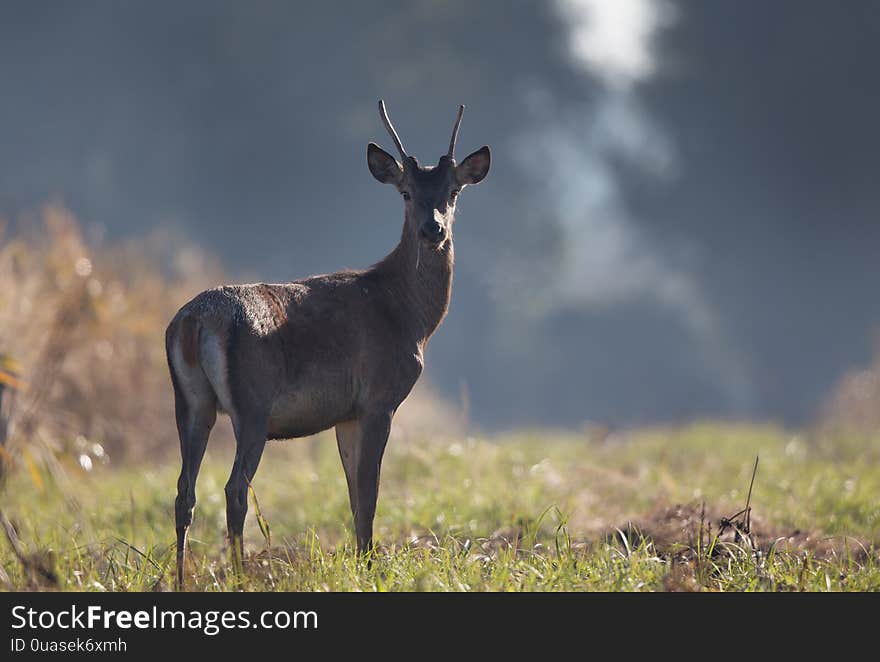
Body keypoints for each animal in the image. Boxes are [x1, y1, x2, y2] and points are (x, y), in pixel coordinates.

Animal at [167, 100, 488, 592]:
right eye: (406, 193)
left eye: (453, 192)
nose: (433, 230)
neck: (408, 318)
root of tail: (193, 321)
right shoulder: (378, 398)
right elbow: (370, 493)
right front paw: (371, 566)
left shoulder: (345, 413)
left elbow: (353, 493)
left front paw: (361, 563)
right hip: (251, 405)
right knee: (235, 488)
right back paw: (239, 577)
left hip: (190, 402)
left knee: (184, 492)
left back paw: (181, 581)